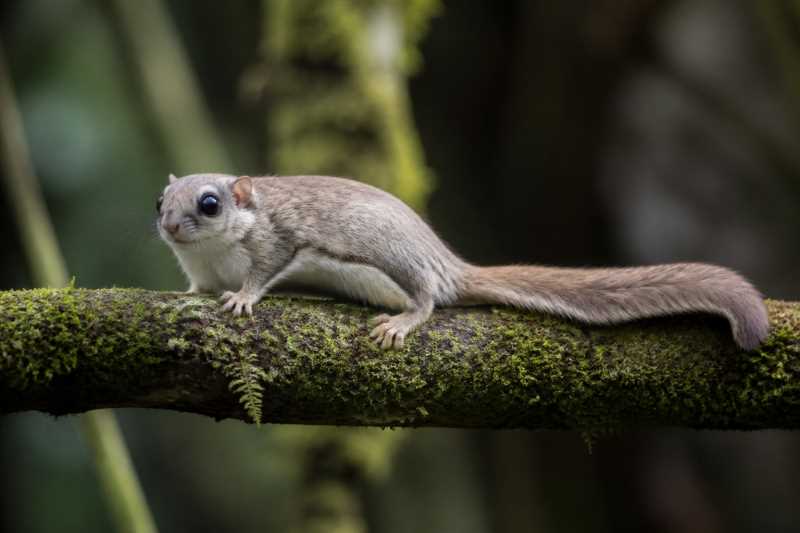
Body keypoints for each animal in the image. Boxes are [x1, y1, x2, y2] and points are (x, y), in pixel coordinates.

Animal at [156, 173, 769, 350]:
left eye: (209, 203)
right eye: (160, 201)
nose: (168, 226)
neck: (212, 258)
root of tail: (448, 262)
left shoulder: (278, 241)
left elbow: (262, 273)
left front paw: (242, 297)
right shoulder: (198, 271)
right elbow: (193, 289)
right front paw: (187, 295)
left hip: (398, 262)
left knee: (429, 297)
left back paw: (404, 320)